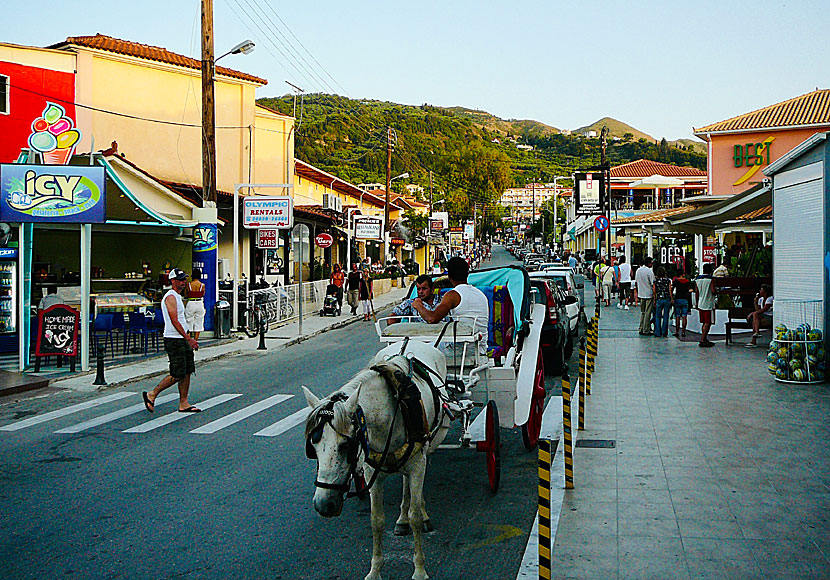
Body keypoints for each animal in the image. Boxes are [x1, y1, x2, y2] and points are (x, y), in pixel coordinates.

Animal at [304, 340, 452, 580]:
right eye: (313, 449)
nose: (323, 505)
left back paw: (419, 511)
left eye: (346, 446)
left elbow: (415, 518)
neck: (392, 410)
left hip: (427, 447)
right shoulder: (372, 470)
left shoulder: (418, 463)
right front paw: (375, 570)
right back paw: (401, 518)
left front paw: (419, 569)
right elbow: (376, 520)